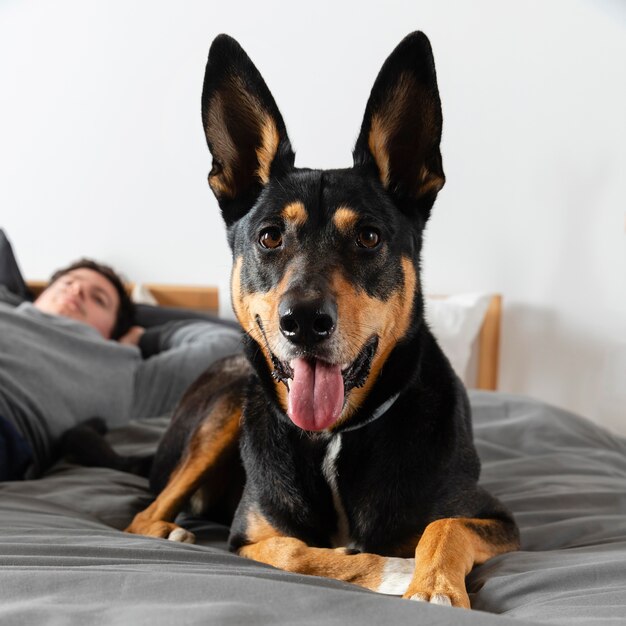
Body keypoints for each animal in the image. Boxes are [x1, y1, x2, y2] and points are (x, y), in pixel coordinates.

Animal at [125, 33, 516, 604]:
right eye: (269, 237)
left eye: (369, 237)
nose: (304, 322)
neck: (334, 435)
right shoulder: (248, 537)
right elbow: (297, 551)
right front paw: (392, 570)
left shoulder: (496, 518)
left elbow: (444, 526)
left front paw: (433, 586)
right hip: (225, 407)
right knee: (142, 515)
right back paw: (170, 529)